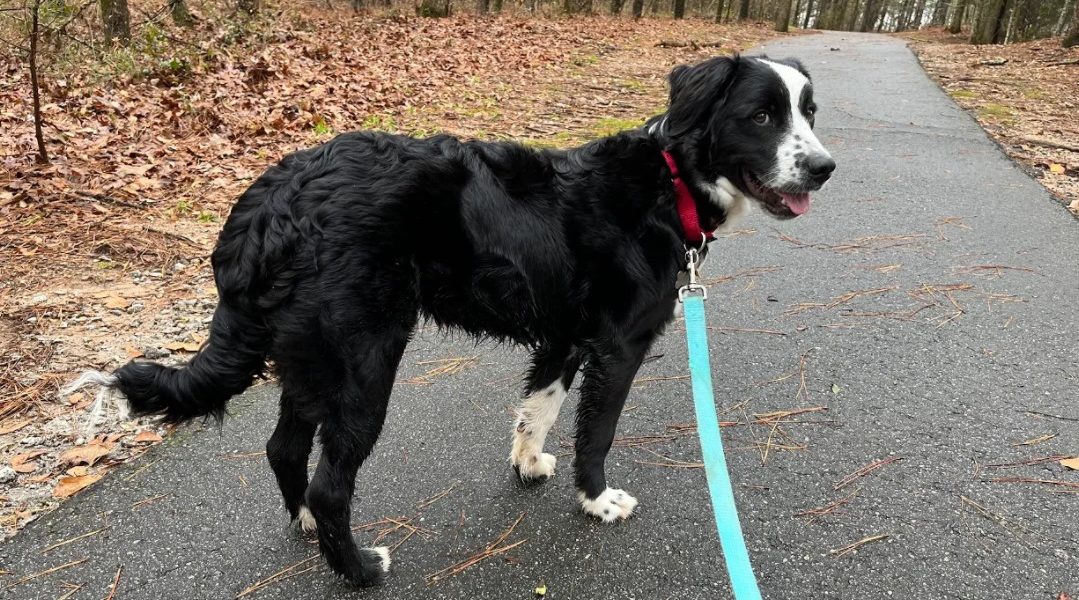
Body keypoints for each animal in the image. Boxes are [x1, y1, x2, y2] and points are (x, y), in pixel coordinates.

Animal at [71, 52, 832, 587]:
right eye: (761, 117)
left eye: (810, 112)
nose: (824, 167)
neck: (668, 181)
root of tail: (273, 198)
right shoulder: (618, 348)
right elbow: (596, 435)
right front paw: (596, 501)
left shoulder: (562, 338)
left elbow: (538, 411)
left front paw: (528, 464)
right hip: (364, 363)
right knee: (329, 481)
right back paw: (358, 571)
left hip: (311, 360)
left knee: (284, 450)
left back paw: (308, 529)